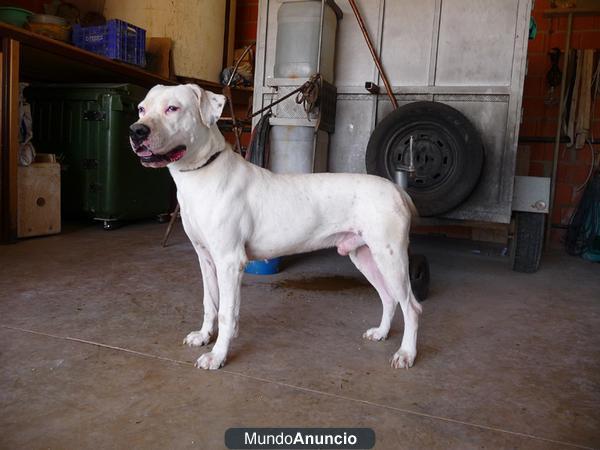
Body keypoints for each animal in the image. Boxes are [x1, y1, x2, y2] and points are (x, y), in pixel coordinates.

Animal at [130, 83, 422, 370]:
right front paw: (203, 336)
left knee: (411, 307)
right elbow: (210, 303)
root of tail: (397, 189)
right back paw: (381, 333)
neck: (202, 172)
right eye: (142, 109)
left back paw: (406, 353)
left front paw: (217, 355)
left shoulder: (229, 261)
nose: (136, 131)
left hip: (391, 258)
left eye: (173, 108)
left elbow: (225, 312)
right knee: (389, 297)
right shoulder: (207, 258)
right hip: (364, 255)